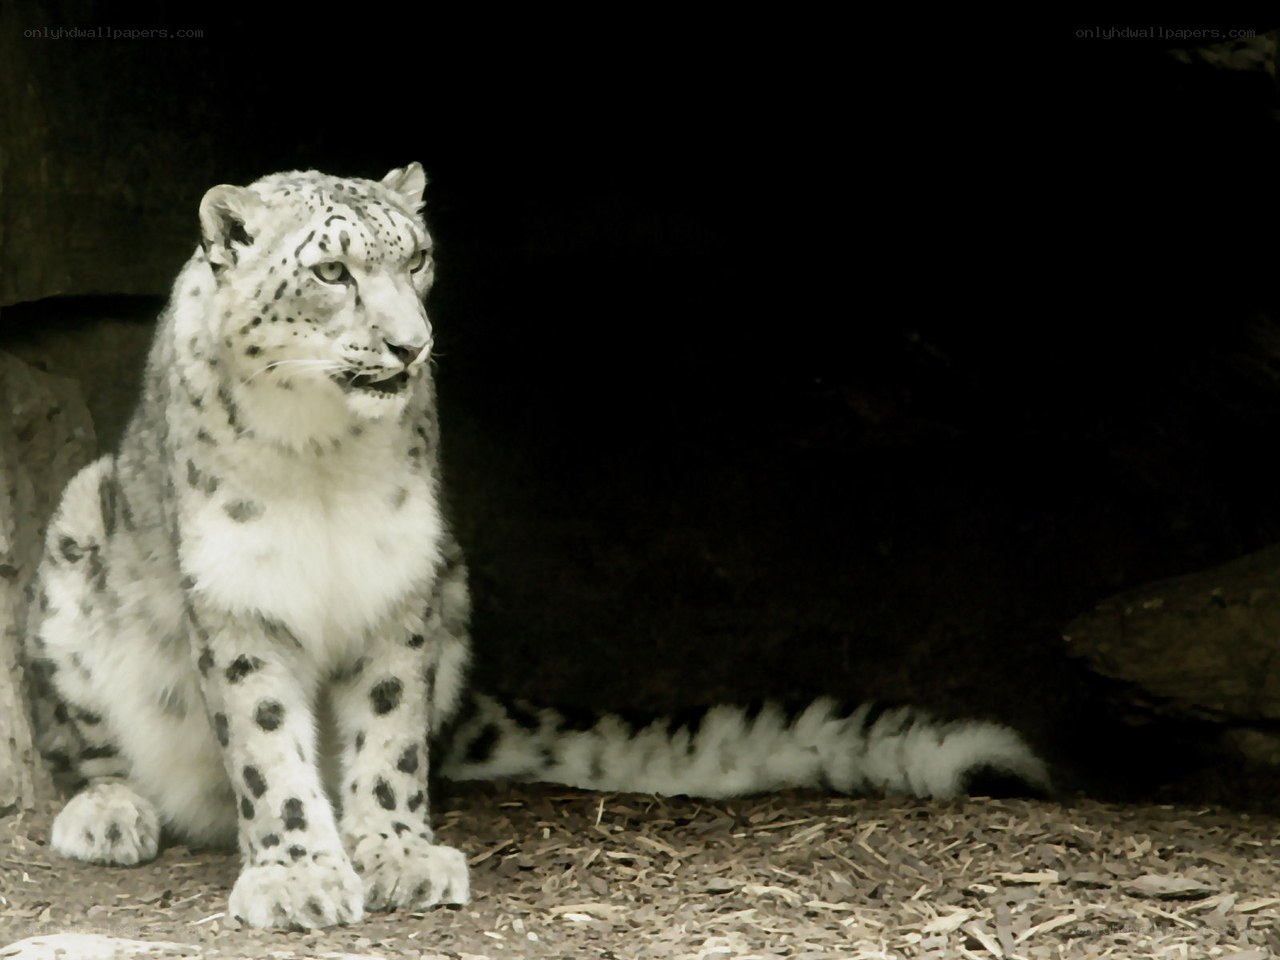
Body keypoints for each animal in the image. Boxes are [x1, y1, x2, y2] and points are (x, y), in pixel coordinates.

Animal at [22, 163, 1050, 931]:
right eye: (331, 274)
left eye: (419, 258)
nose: (409, 346)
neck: (320, 453)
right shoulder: (241, 590)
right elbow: (267, 741)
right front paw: (300, 874)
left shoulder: (401, 578)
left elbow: (388, 730)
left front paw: (397, 853)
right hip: (75, 537)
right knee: (79, 740)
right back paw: (107, 812)